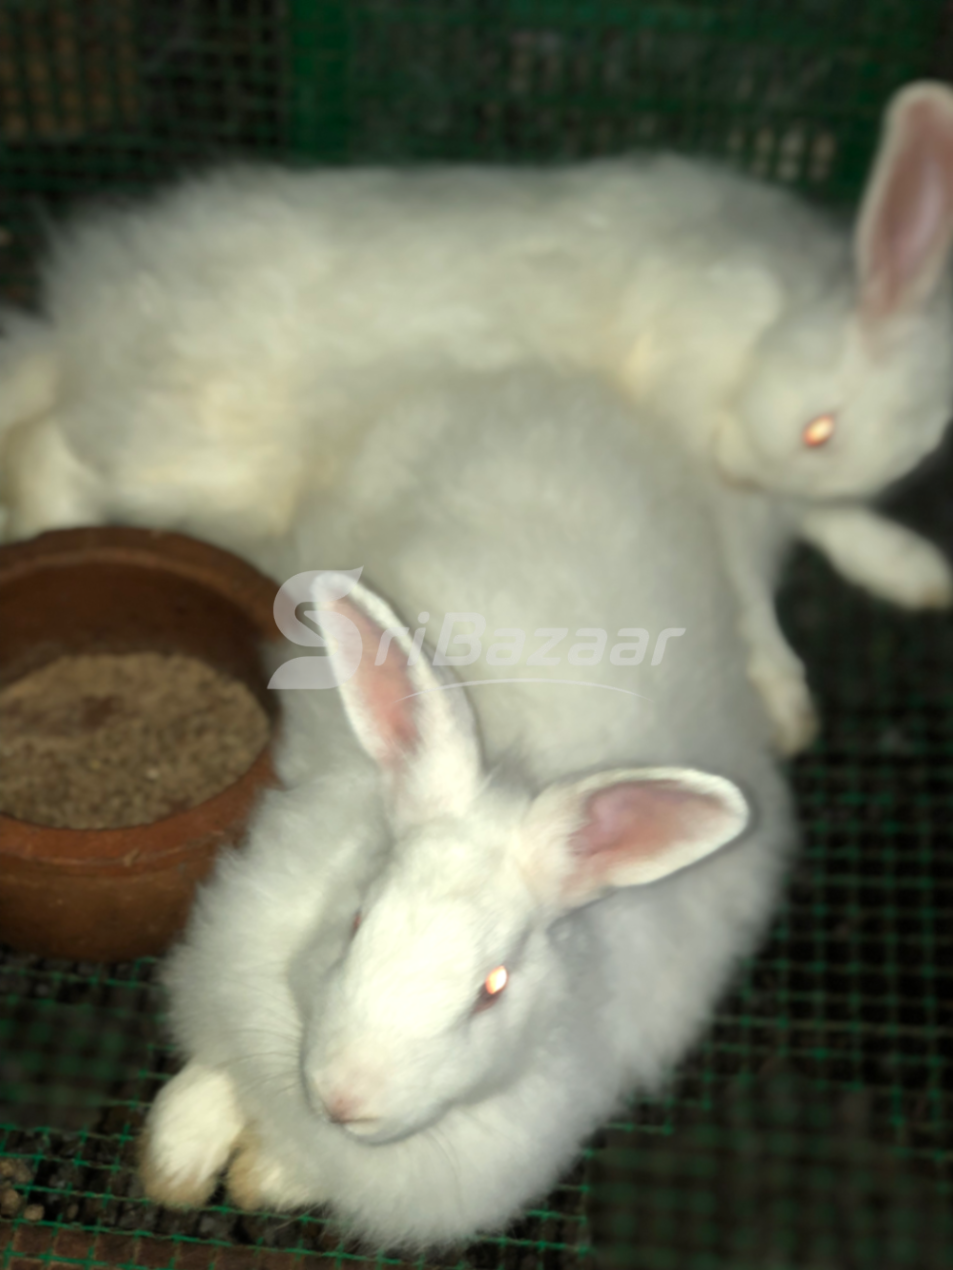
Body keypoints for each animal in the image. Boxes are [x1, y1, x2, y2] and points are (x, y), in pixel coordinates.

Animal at [4, 82, 953, 752]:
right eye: (817, 429)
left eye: (912, 459)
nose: (739, 465)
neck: (760, 335)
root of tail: (79, 328)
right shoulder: (718, 487)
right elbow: (748, 594)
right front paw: (786, 702)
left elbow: (833, 522)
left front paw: (914, 571)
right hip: (186, 459)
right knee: (60, 451)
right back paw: (43, 524)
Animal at [139, 367, 796, 1251]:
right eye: (357, 921)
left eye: (493, 987)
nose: (344, 1099)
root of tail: (563, 395)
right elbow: (209, 1075)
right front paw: (175, 1162)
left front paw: (259, 1175)